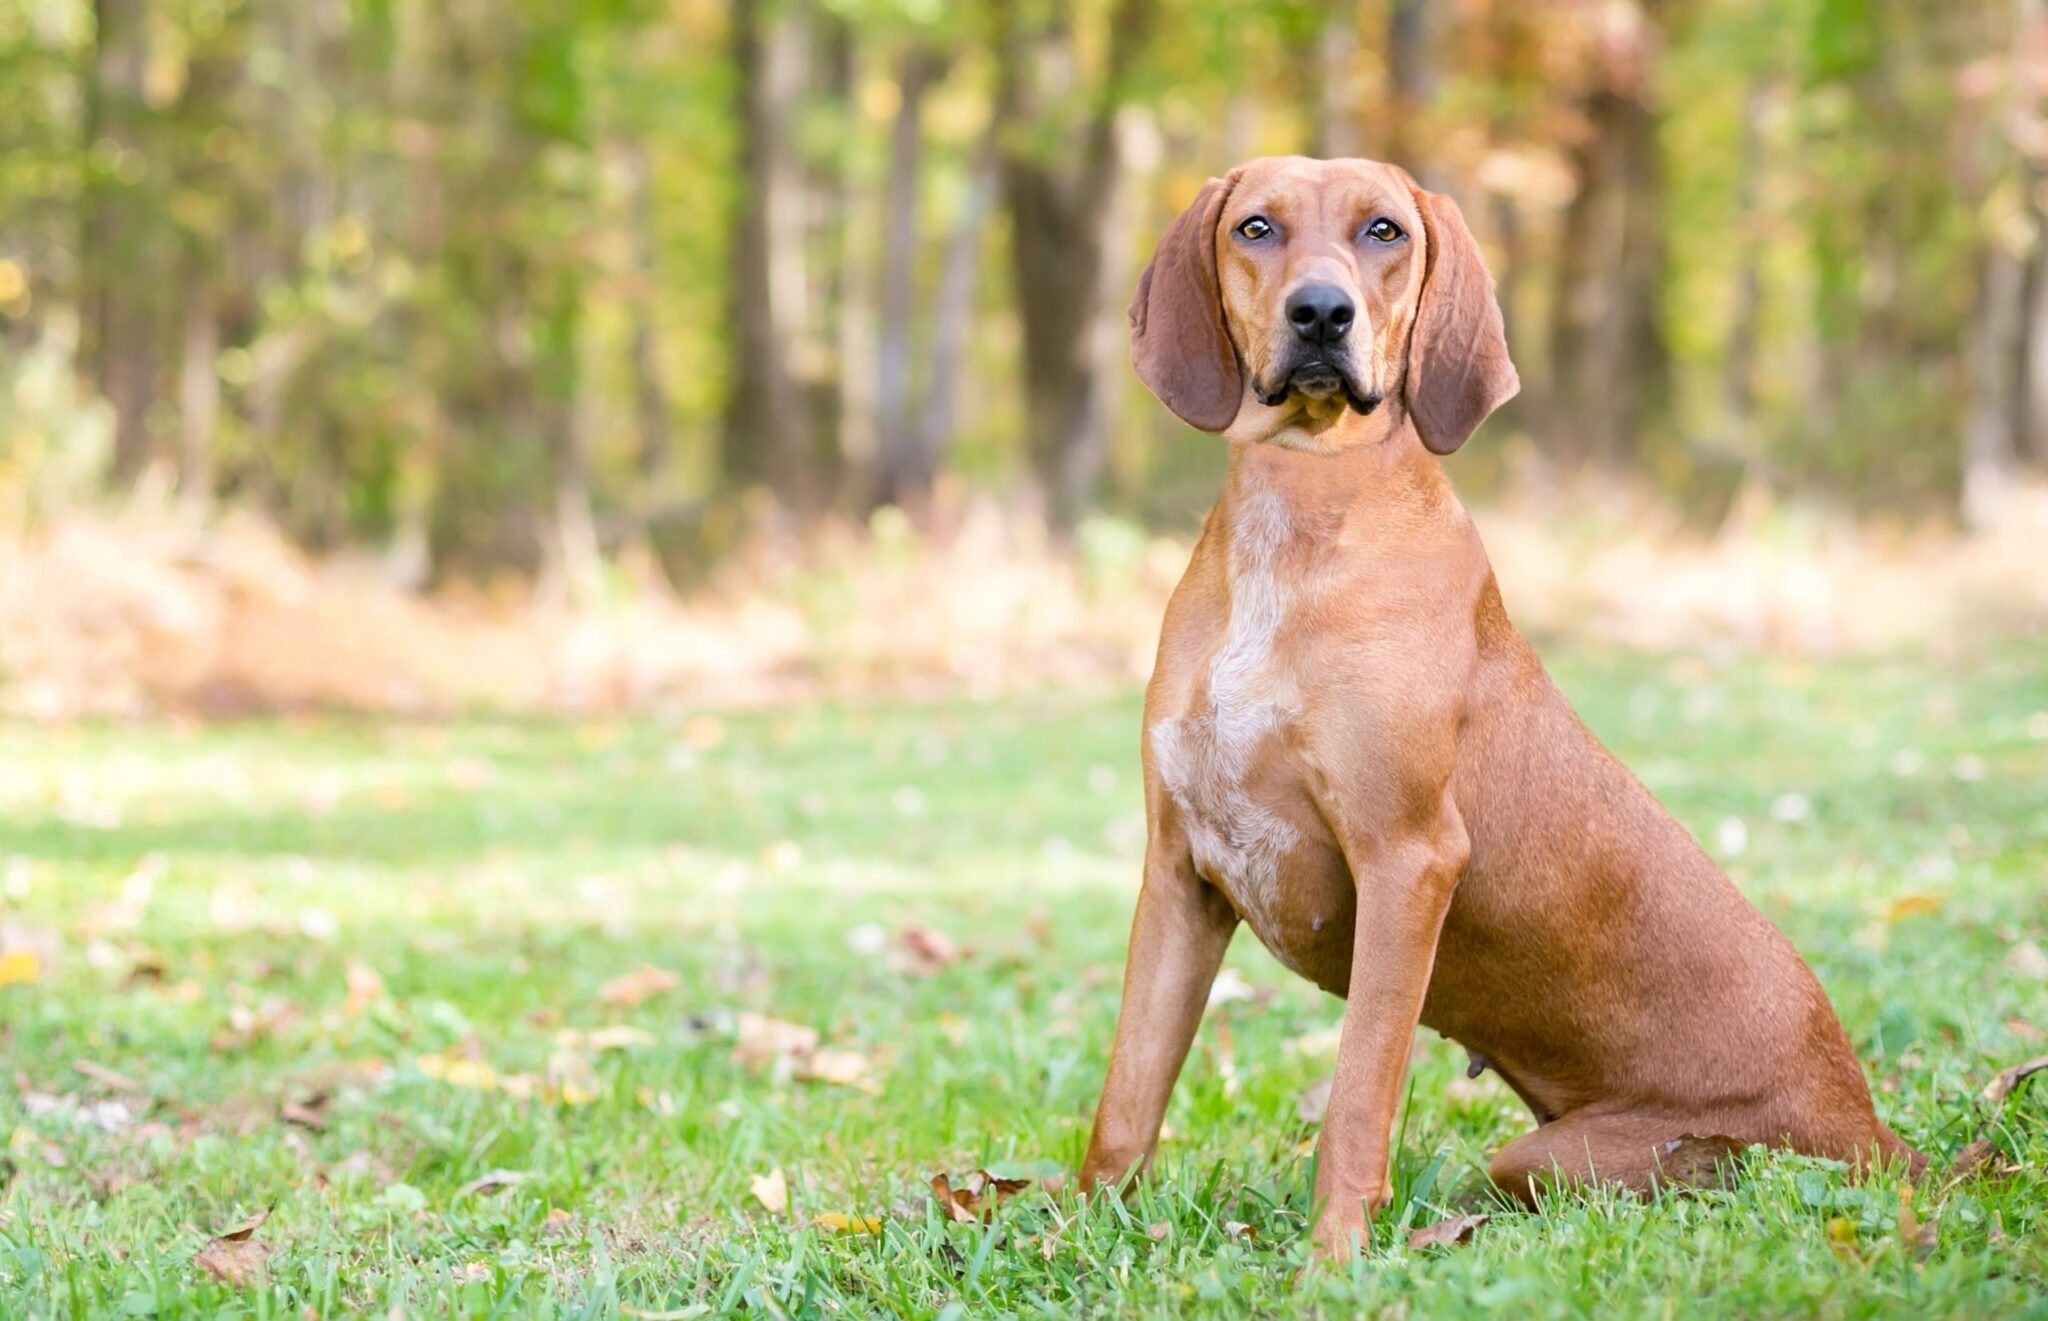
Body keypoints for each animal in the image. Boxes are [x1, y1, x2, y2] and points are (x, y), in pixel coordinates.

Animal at [1073, 156, 1916, 1253]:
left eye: (1383, 230)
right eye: (1256, 227)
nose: (1321, 312)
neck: (1299, 510)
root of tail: (1874, 1125)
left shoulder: (1406, 860)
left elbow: (1355, 1101)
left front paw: (1331, 1262)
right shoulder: (1181, 872)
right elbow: (1126, 1102)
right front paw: (1068, 1235)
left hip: (1582, 1155)